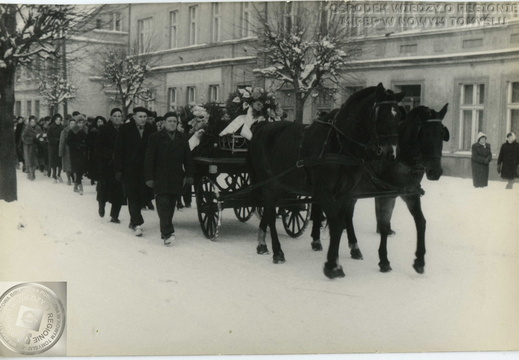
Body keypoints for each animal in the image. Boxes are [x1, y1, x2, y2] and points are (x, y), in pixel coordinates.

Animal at [249, 83, 406, 278]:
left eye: (398, 117)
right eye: (381, 116)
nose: (392, 154)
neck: (339, 144)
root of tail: (262, 126)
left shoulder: (346, 193)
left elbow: (342, 221)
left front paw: (342, 256)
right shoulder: (323, 192)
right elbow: (337, 224)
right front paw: (333, 265)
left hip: (280, 186)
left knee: (268, 212)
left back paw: (262, 244)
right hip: (269, 185)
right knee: (270, 215)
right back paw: (277, 252)